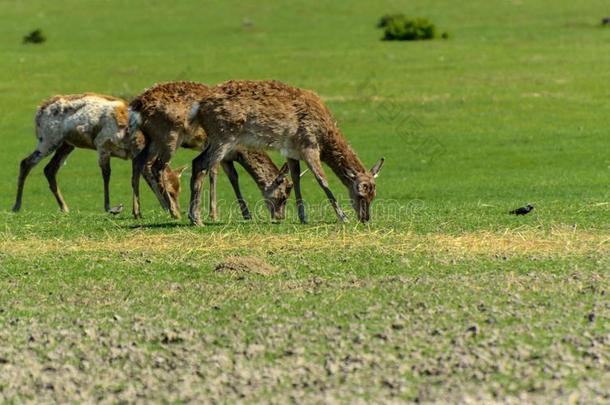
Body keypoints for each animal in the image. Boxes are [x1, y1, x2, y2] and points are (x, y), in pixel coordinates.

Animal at [11, 94, 183, 215]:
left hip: (66, 144)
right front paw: (109, 207)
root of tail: (39, 109)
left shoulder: (133, 156)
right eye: (170, 191)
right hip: (48, 140)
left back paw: (64, 207)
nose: (176, 211)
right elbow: (106, 175)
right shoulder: (102, 145)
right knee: (26, 162)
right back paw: (16, 206)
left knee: (49, 169)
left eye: (179, 189)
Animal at [128, 81, 292, 221]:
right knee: (156, 167)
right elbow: (213, 174)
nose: (280, 217)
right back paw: (173, 211)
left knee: (138, 161)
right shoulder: (221, 149)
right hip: (169, 136)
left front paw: (246, 214)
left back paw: (137, 212)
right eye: (283, 196)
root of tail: (137, 103)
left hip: (152, 138)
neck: (243, 150)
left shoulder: (227, 156)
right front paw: (213, 214)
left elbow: (233, 177)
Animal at [188, 79, 382, 224]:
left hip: (215, 138)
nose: (365, 219)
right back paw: (196, 219)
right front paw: (343, 217)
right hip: (223, 136)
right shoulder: (309, 145)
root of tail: (197, 107)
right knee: (201, 164)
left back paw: (194, 217)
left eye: (373, 194)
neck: (325, 136)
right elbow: (322, 180)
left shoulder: (291, 151)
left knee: (196, 162)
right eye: (360, 193)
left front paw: (302, 217)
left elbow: (296, 178)